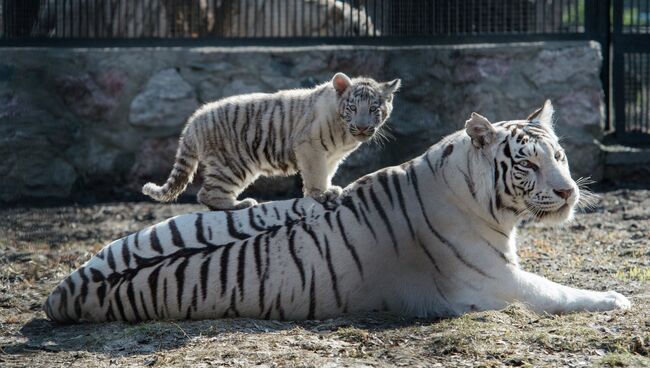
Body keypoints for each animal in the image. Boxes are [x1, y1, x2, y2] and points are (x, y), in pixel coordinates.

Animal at [44, 100, 628, 322]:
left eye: (558, 156)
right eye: (526, 164)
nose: (569, 193)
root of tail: (59, 292)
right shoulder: (498, 284)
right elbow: (562, 293)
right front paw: (617, 298)